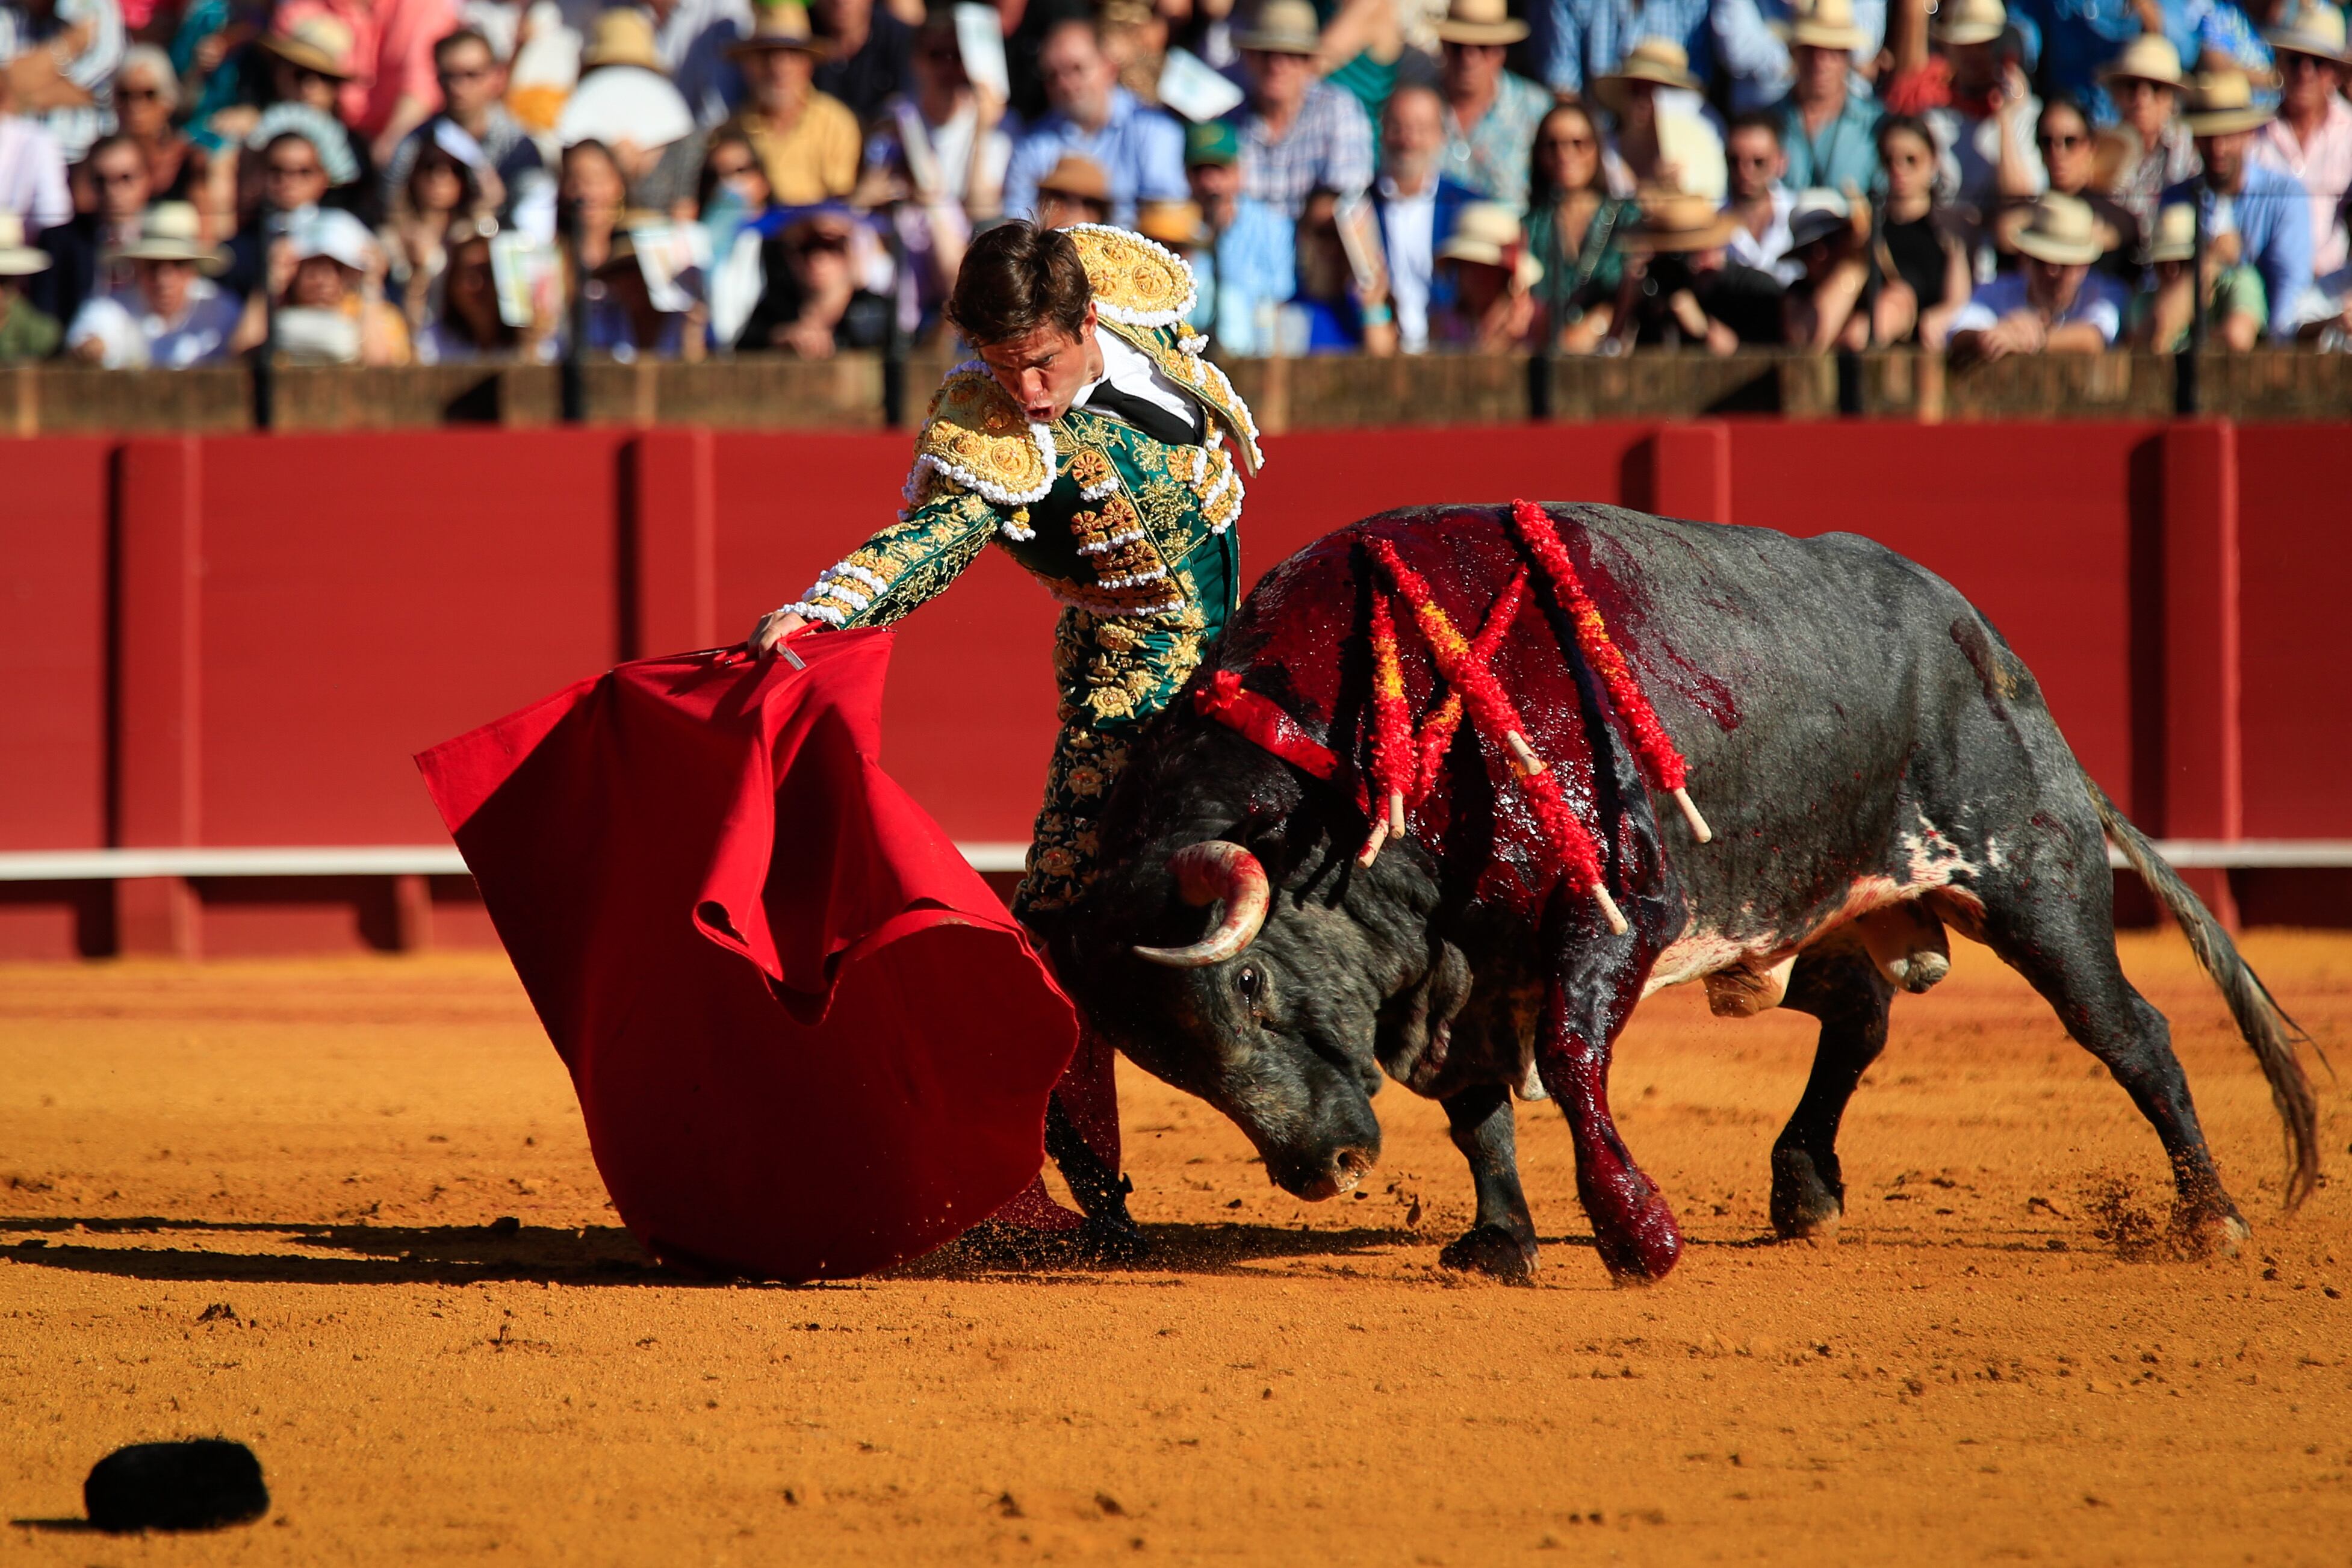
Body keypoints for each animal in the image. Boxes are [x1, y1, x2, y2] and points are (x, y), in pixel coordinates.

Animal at [1049, 503, 2314, 1288]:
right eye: (1169, 1062)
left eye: (1251, 983)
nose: (1326, 1173)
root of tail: (1990, 651)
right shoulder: (1461, 968)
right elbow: (1477, 1107)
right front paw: (1500, 1243)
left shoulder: (1617, 911)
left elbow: (1568, 1061)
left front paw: (1637, 1236)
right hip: (1815, 913)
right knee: (1858, 1017)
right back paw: (1804, 1192)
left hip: (2029, 875)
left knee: (2127, 1030)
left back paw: (2210, 1219)